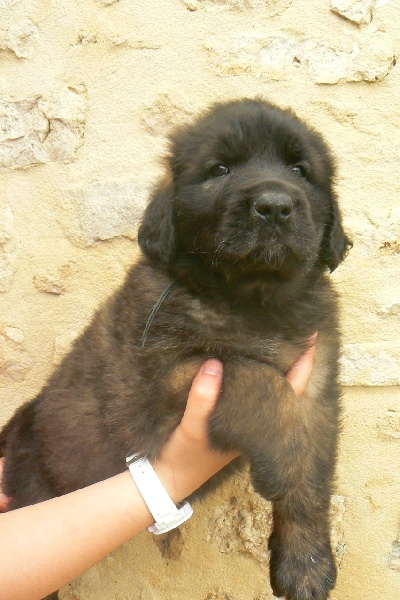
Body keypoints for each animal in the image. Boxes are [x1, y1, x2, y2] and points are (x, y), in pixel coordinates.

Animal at [0, 98, 351, 600]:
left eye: (300, 171)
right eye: (220, 169)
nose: (275, 206)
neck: (252, 298)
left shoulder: (318, 388)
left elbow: (313, 484)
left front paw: (306, 564)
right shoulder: (161, 377)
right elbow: (249, 372)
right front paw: (286, 458)